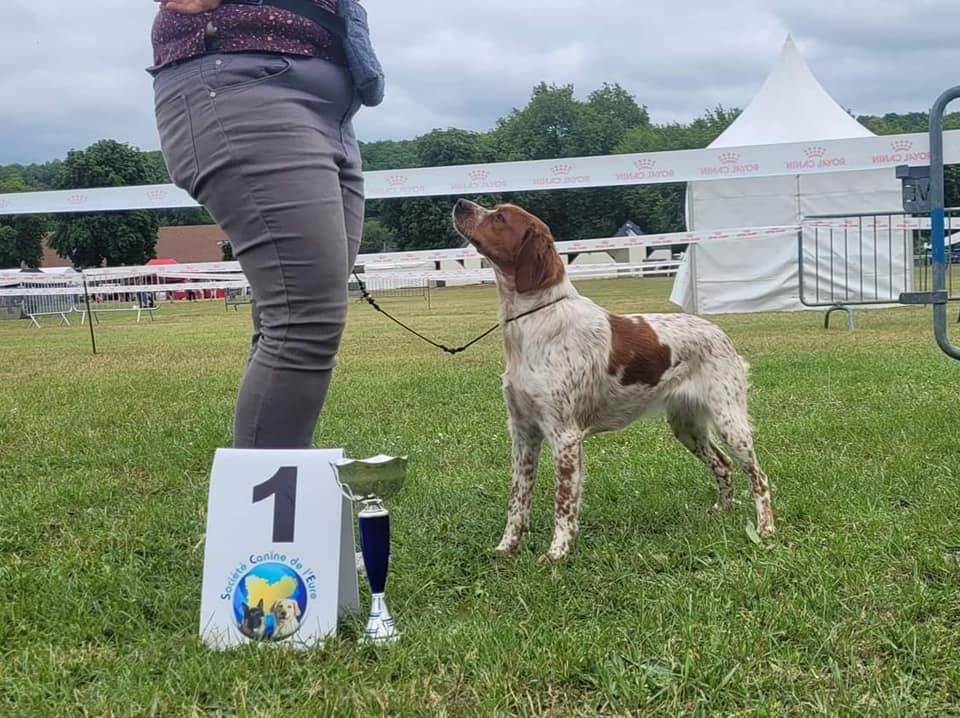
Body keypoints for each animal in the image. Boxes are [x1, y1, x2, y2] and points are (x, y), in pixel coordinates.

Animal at [454, 198, 776, 564]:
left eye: (500, 217)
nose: (459, 203)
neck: (533, 322)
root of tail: (721, 333)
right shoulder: (522, 432)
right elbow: (517, 501)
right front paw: (506, 548)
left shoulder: (565, 436)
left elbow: (563, 503)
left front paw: (557, 554)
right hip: (687, 427)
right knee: (722, 464)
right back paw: (722, 509)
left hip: (729, 421)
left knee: (759, 475)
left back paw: (765, 528)